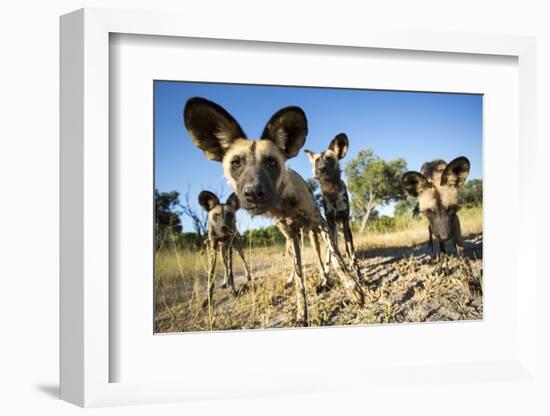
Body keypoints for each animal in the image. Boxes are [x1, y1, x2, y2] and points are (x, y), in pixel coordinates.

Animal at [306, 135, 362, 280]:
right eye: (317, 161)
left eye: (329, 159)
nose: (321, 169)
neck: (332, 190)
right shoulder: (330, 224)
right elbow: (330, 255)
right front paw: (325, 278)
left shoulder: (345, 221)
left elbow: (352, 253)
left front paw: (358, 275)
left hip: (344, 227)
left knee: (348, 250)